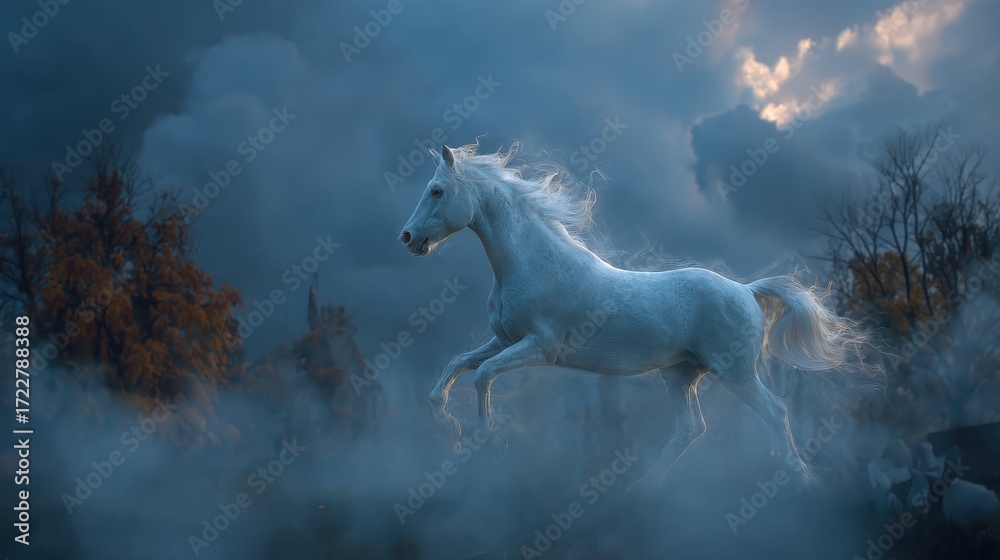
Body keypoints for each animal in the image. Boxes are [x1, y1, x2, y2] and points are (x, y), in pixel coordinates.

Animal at [399, 144, 864, 492]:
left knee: (775, 412)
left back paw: (801, 481)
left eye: (437, 191)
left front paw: (492, 443)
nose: (407, 237)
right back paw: (643, 489)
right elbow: (455, 367)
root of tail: (747, 291)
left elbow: (482, 376)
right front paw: (449, 431)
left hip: (736, 372)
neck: (531, 264)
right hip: (680, 374)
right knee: (691, 429)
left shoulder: (540, 348)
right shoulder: (503, 340)